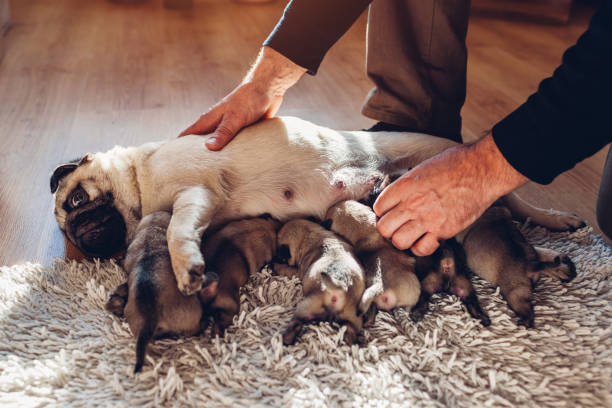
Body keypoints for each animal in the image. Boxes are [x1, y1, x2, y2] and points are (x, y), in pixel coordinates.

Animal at [274, 218, 368, 346]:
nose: (276, 256)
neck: (311, 234)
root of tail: (341, 287)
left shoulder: (296, 271)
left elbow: (284, 268)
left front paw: (274, 265)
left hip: (305, 306)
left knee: (295, 323)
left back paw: (286, 339)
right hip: (353, 317)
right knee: (350, 332)